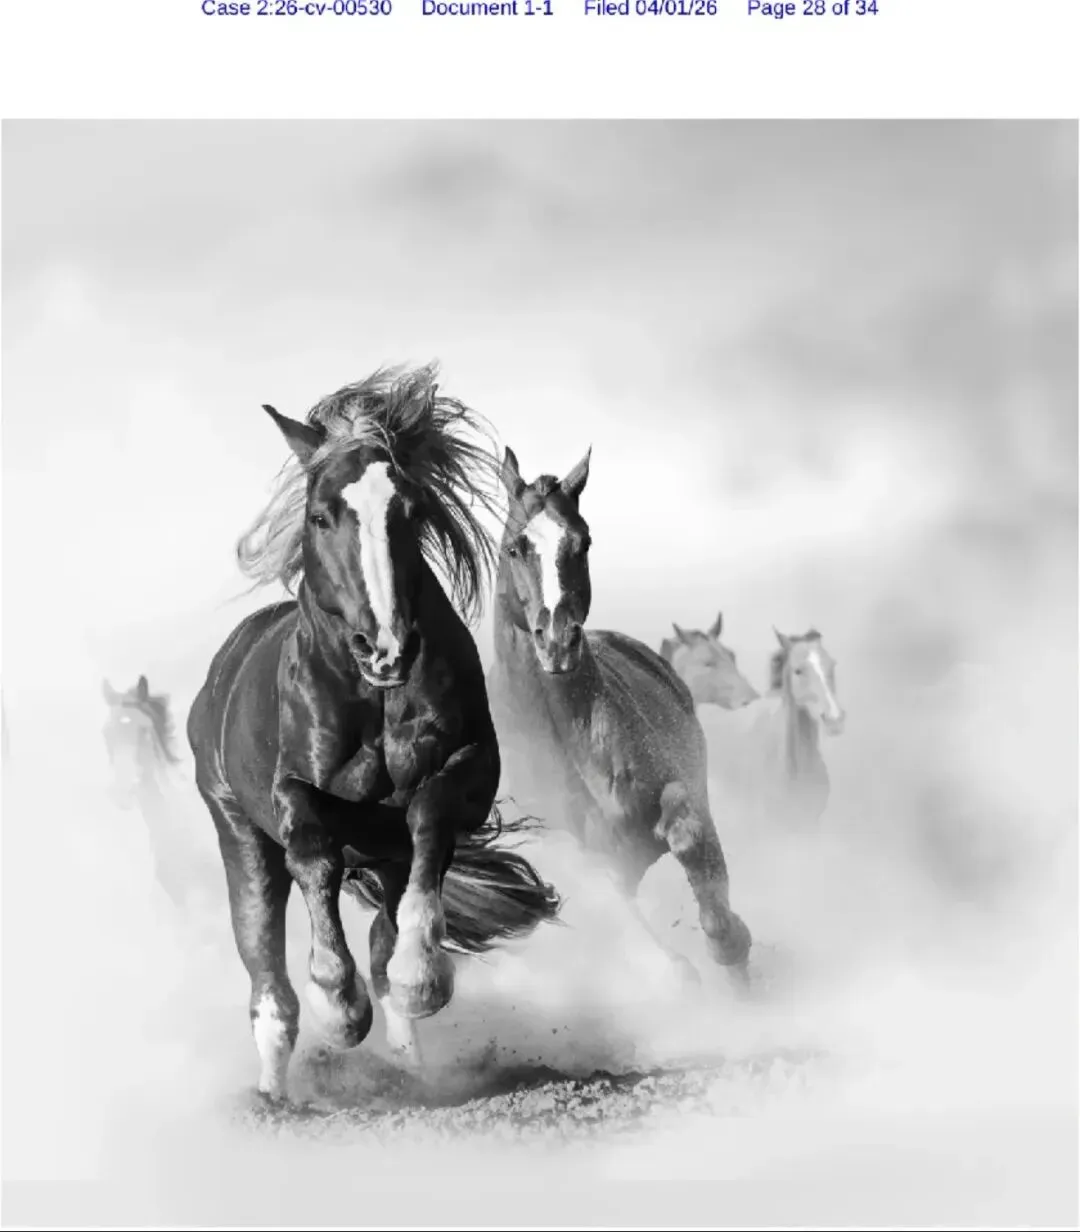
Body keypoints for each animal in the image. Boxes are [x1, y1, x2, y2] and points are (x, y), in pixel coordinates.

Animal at [187, 365, 560, 1103]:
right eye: (321, 514)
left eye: (411, 511)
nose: (384, 647)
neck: (374, 697)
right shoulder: (292, 793)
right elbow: (313, 855)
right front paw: (339, 1007)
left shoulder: (468, 770)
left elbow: (429, 822)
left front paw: (422, 978)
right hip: (236, 831)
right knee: (267, 976)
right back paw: (275, 1095)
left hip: (380, 855)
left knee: (386, 928)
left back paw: (409, 1064)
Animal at [486, 445, 752, 987]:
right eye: (515, 547)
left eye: (583, 541)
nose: (558, 641)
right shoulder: (593, 862)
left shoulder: (682, 795)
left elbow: (690, 838)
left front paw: (730, 943)